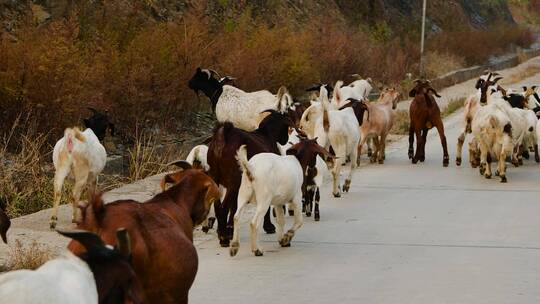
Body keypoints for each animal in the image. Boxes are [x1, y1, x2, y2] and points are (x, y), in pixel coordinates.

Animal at [207, 109, 294, 247]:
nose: (285, 140)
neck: (266, 135)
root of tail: (223, 136)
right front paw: (269, 227)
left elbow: (235, 206)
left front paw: (231, 230)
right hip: (233, 181)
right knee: (223, 207)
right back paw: (223, 238)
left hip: (215, 178)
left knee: (218, 206)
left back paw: (223, 233)